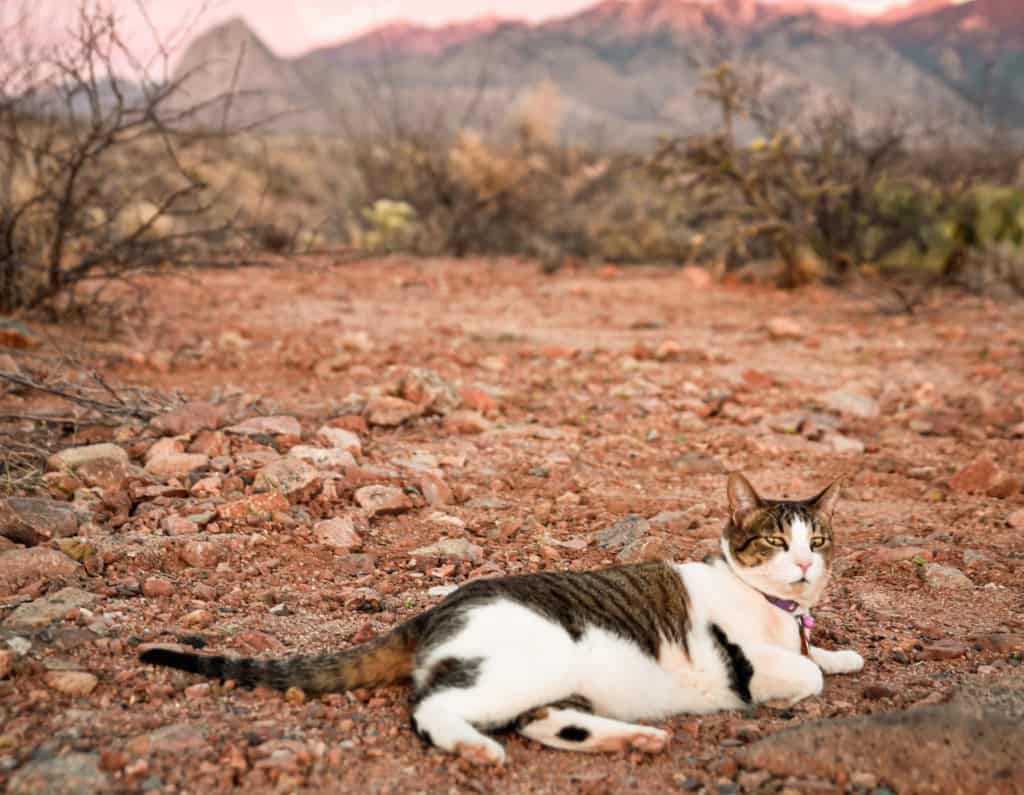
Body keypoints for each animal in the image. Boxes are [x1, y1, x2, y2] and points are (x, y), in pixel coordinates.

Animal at [140, 471, 864, 762]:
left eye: (819, 540)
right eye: (776, 542)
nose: (806, 566)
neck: (777, 608)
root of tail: (438, 608)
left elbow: (819, 656)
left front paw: (839, 652)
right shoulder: (748, 658)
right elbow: (799, 675)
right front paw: (797, 679)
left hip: (551, 682)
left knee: (543, 719)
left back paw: (632, 739)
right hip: (522, 663)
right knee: (434, 707)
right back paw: (473, 746)